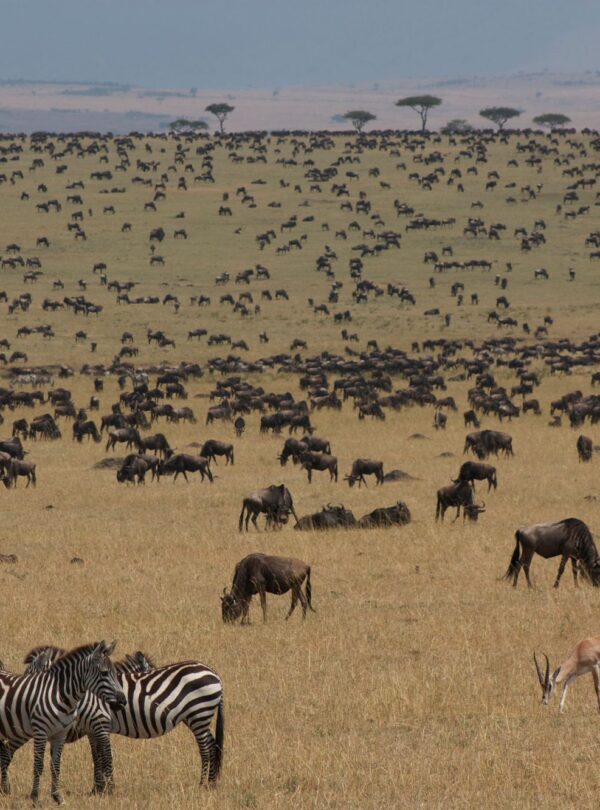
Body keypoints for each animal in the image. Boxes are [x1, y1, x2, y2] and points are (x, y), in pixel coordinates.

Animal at [0, 641, 125, 805]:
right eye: (104, 673)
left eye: (115, 673)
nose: (123, 701)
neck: (61, 696)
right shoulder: (41, 731)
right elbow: (38, 765)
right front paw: (35, 798)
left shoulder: (60, 734)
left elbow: (56, 766)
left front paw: (57, 797)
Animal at [22, 646, 224, 794]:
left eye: (31, 674)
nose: (21, 699)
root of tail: (213, 672)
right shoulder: (91, 729)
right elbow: (96, 757)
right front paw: (97, 790)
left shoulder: (100, 723)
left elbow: (106, 756)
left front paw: (108, 790)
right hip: (196, 717)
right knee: (212, 744)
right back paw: (212, 784)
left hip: (199, 713)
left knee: (205, 748)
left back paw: (202, 784)